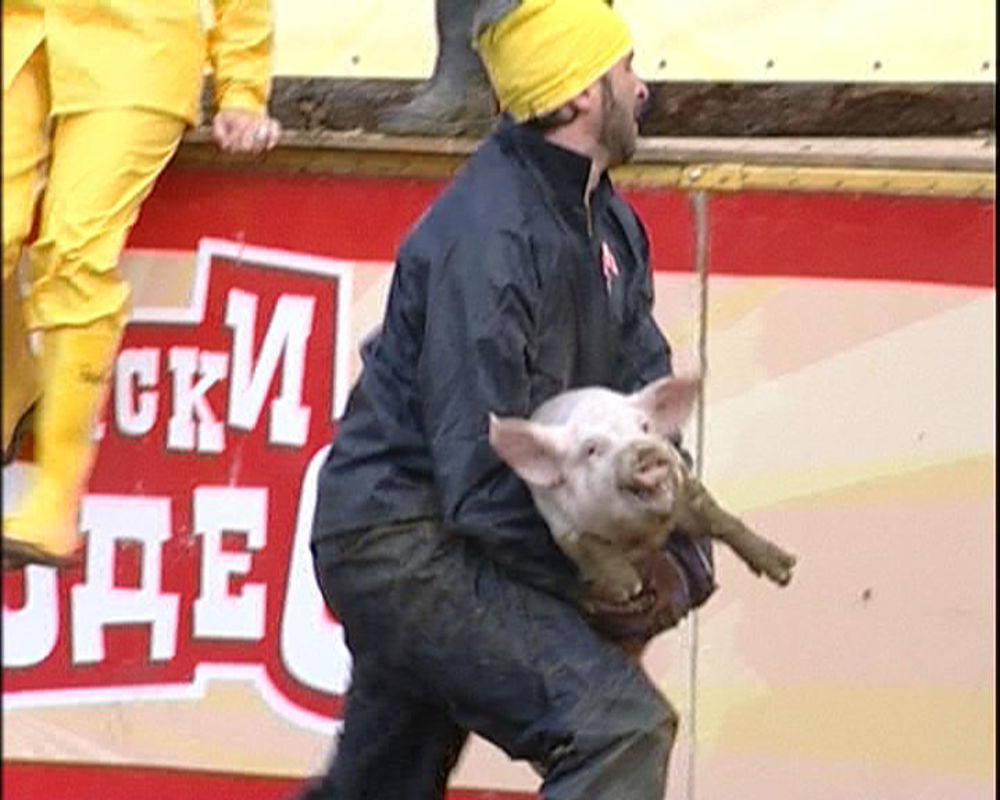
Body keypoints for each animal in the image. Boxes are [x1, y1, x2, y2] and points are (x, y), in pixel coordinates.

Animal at [490, 376, 796, 608]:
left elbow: (719, 519)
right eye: (591, 449)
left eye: (645, 426)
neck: (639, 533)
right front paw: (628, 590)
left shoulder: (683, 484)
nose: (646, 453)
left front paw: (786, 570)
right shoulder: (561, 523)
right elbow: (589, 545)